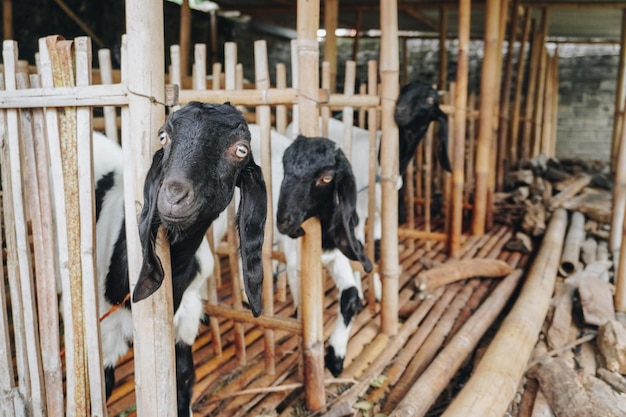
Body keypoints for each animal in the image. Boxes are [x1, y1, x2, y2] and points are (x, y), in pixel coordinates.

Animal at [91, 101, 264, 416]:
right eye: (163, 137)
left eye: (241, 150)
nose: (173, 196)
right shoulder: (105, 329)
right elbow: (104, 385)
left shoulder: (186, 319)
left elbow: (183, 379)